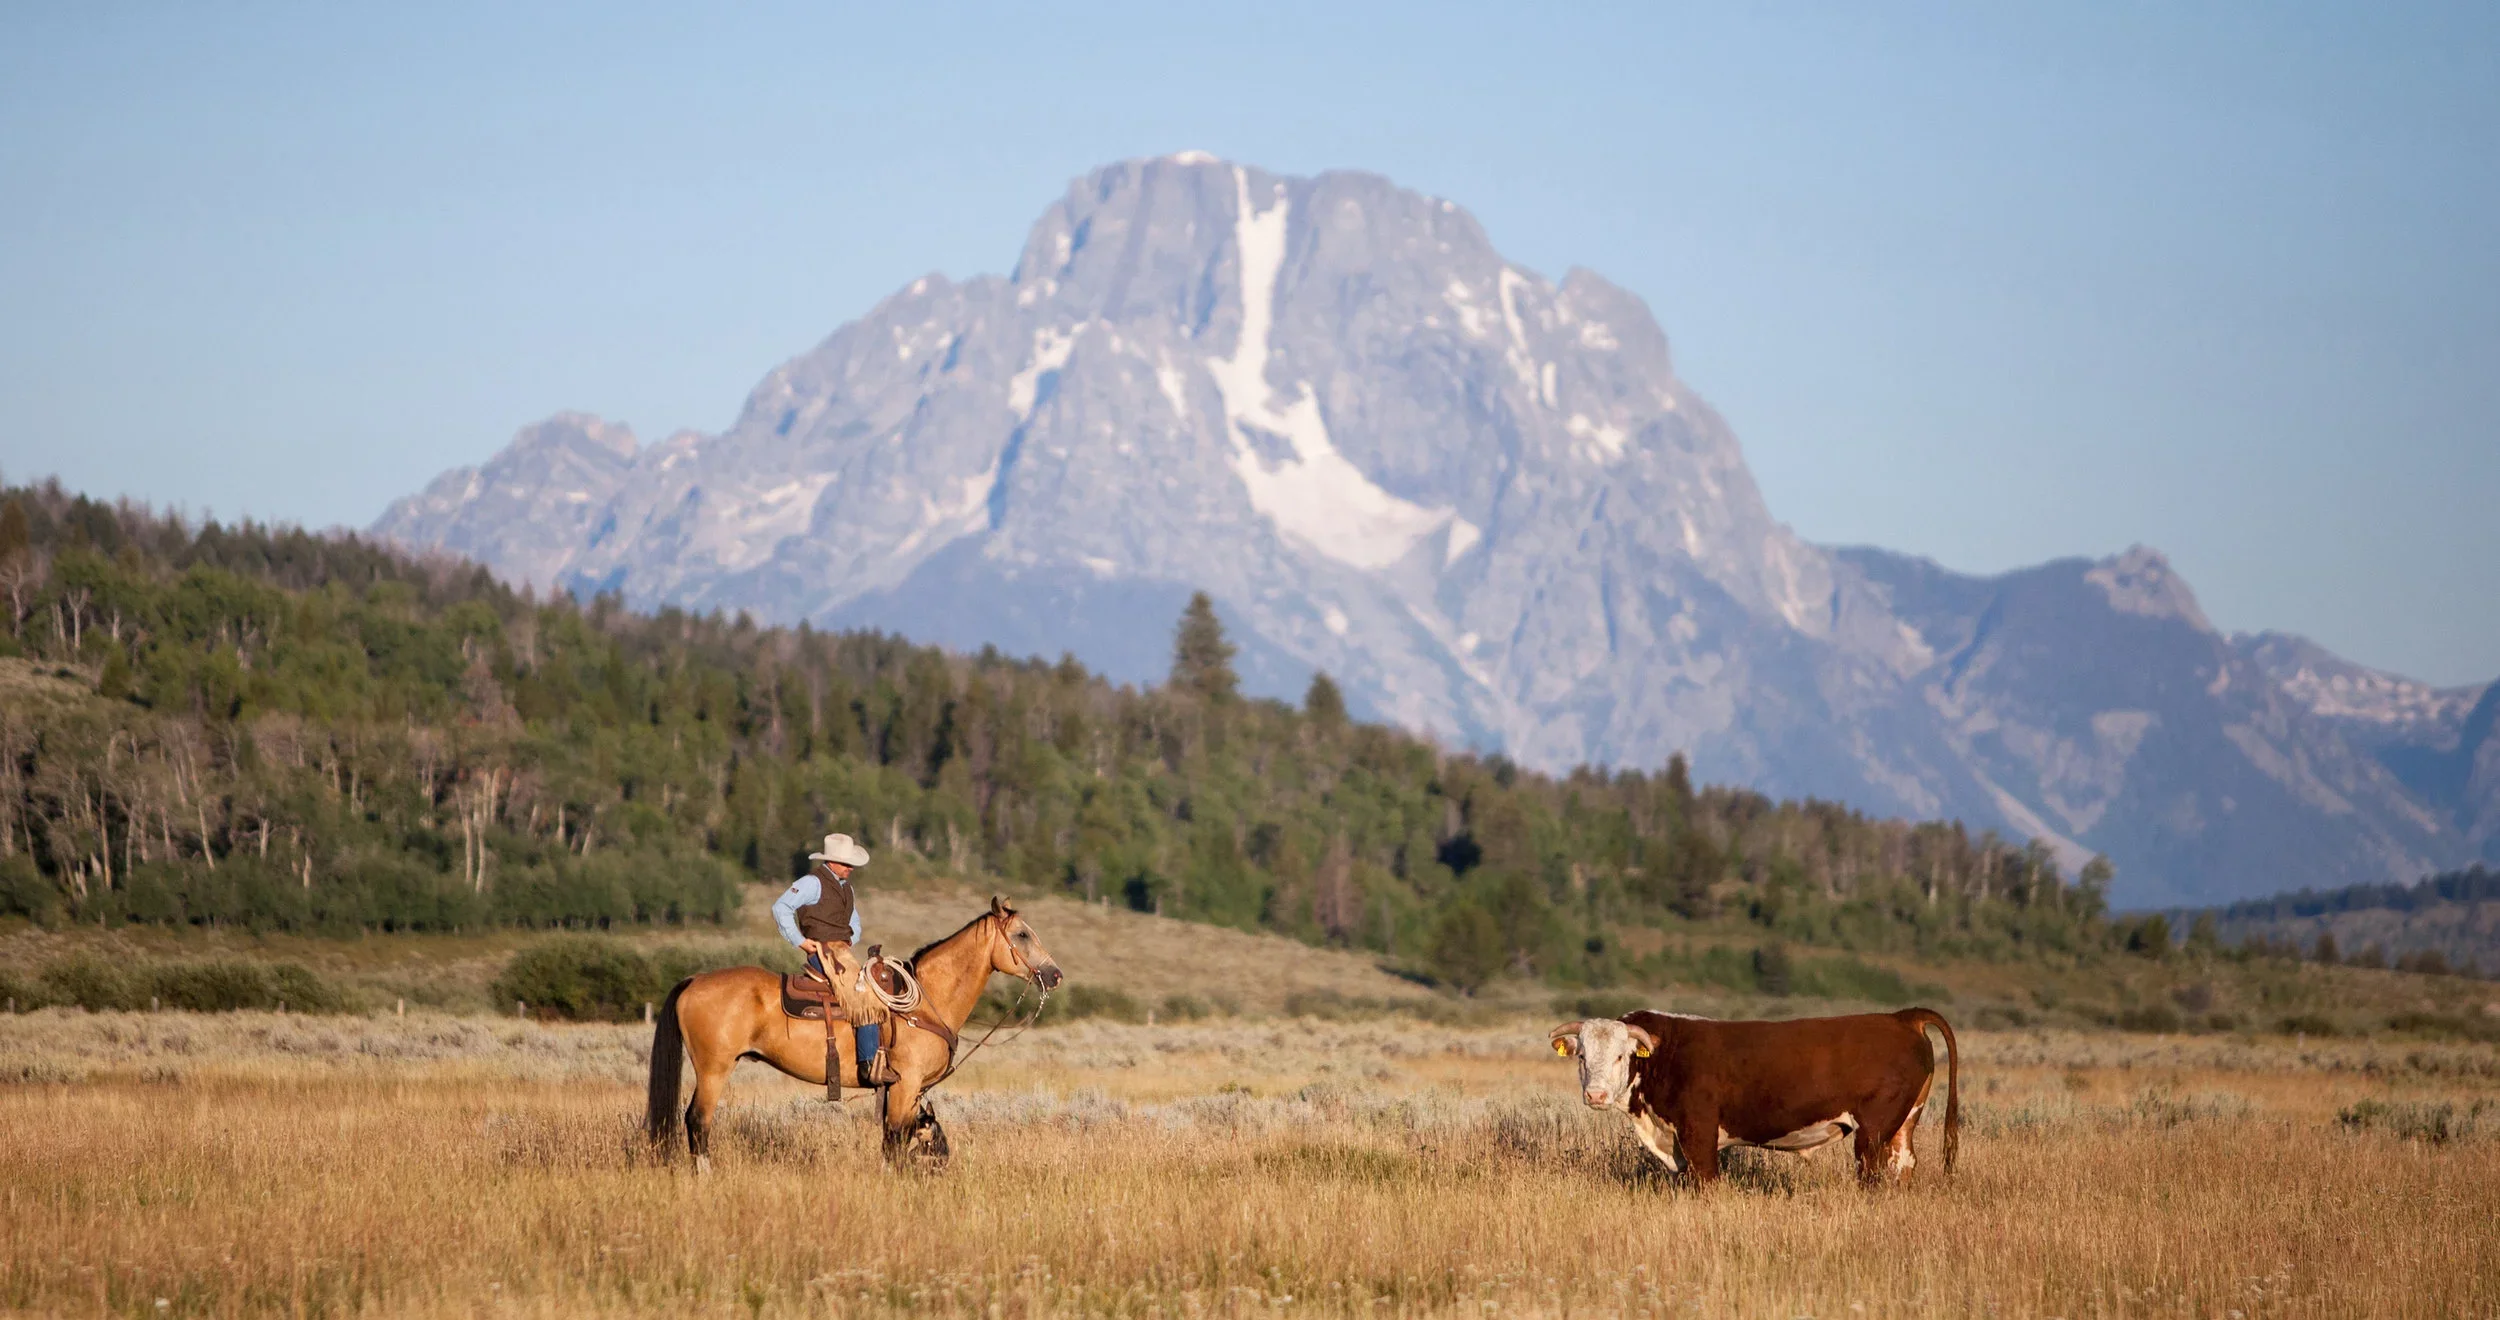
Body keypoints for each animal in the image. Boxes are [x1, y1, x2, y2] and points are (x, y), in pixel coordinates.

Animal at [643, 895, 1064, 1170]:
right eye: (1022, 935)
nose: (1055, 974)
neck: (925, 1002)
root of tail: (695, 979)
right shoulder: (906, 1085)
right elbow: (895, 1141)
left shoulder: (904, 1092)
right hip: (714, 1069)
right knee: (698, 1122)